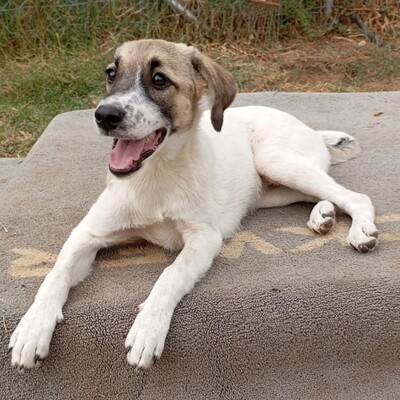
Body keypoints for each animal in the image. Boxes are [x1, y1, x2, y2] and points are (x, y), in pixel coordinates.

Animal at [8, 39, 378, 370]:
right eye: (111, 74)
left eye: (160, 80)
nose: (105, 115)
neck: (154, 178)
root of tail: (311, 129)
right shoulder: (87, 234)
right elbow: (55, 274)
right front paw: (32, 328)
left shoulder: (204, 237)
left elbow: (171, 274)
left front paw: (149, 328)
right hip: (273, 188)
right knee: (325, 193)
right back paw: (322, 215)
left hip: (277, 161)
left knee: (355, 196)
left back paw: (360, 230)